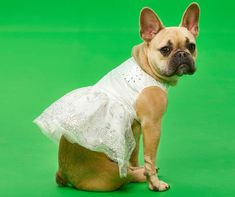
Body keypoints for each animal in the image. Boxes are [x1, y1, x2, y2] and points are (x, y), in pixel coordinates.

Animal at [54, 1, 199, 192]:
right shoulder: (152, 126)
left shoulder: (136, 129)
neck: (146, 68)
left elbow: (135, 155)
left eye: (191, 46)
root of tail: (63, 173)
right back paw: (141, 175)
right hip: (110, 173)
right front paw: (154, 183)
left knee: (128, 165)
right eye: (165, 50)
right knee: (126, 176)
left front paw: (143, 170)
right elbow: (150, 158)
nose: (182, 53)